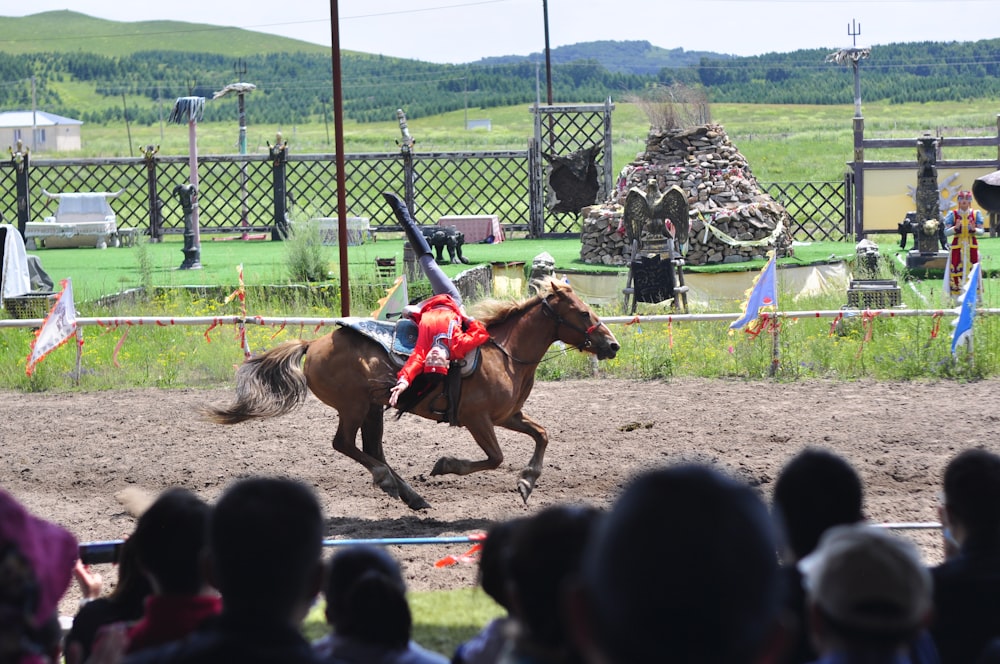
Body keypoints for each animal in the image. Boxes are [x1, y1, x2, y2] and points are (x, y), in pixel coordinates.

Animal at [202, 278, 616, 510]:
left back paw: (410, 495)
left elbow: (542, 435)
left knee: (372, 449)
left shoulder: (508, 416)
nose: (611, 344)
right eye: (583, 312)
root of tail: (313, 344)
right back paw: (389, 482)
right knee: (345, 445)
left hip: (373, 409)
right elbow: (495, 458)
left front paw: (528, 481)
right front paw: (446, 465)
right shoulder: (478, 420)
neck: (505, 352)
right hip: (354, 406)